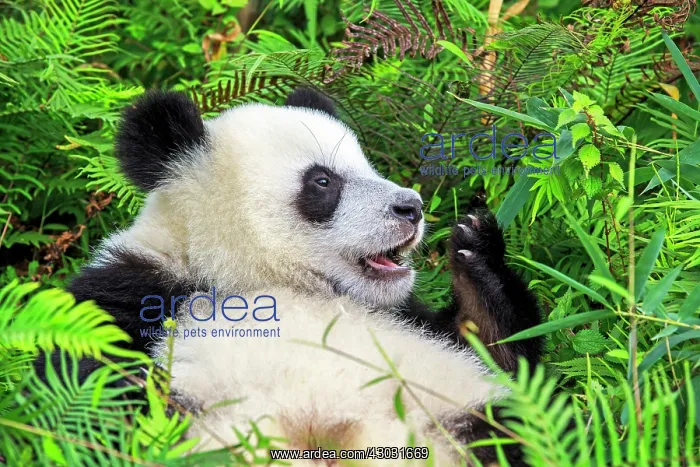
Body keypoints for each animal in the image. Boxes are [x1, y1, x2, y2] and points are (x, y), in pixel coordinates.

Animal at [63, 87, 543, 466]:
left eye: (368, 166)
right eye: (323, 180)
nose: (411, 207)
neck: (263, 281)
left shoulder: (407, 317)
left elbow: (503, 358)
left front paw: (475, 249)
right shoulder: (137, 293)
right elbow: (84, 399)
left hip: (451, 415)